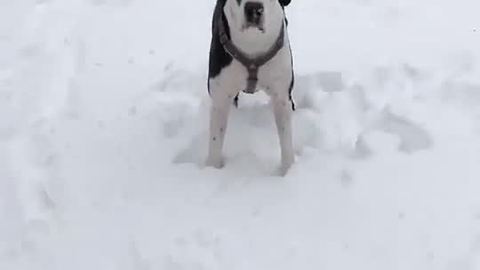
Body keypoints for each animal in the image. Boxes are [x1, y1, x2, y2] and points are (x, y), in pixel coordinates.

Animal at [205, 0, 294, 175]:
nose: (254, 9)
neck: (252, 42)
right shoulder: (220, 98)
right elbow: (215, 142)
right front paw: (212, 170)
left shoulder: (282, 97)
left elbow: (286, 141)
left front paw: (290, 172)